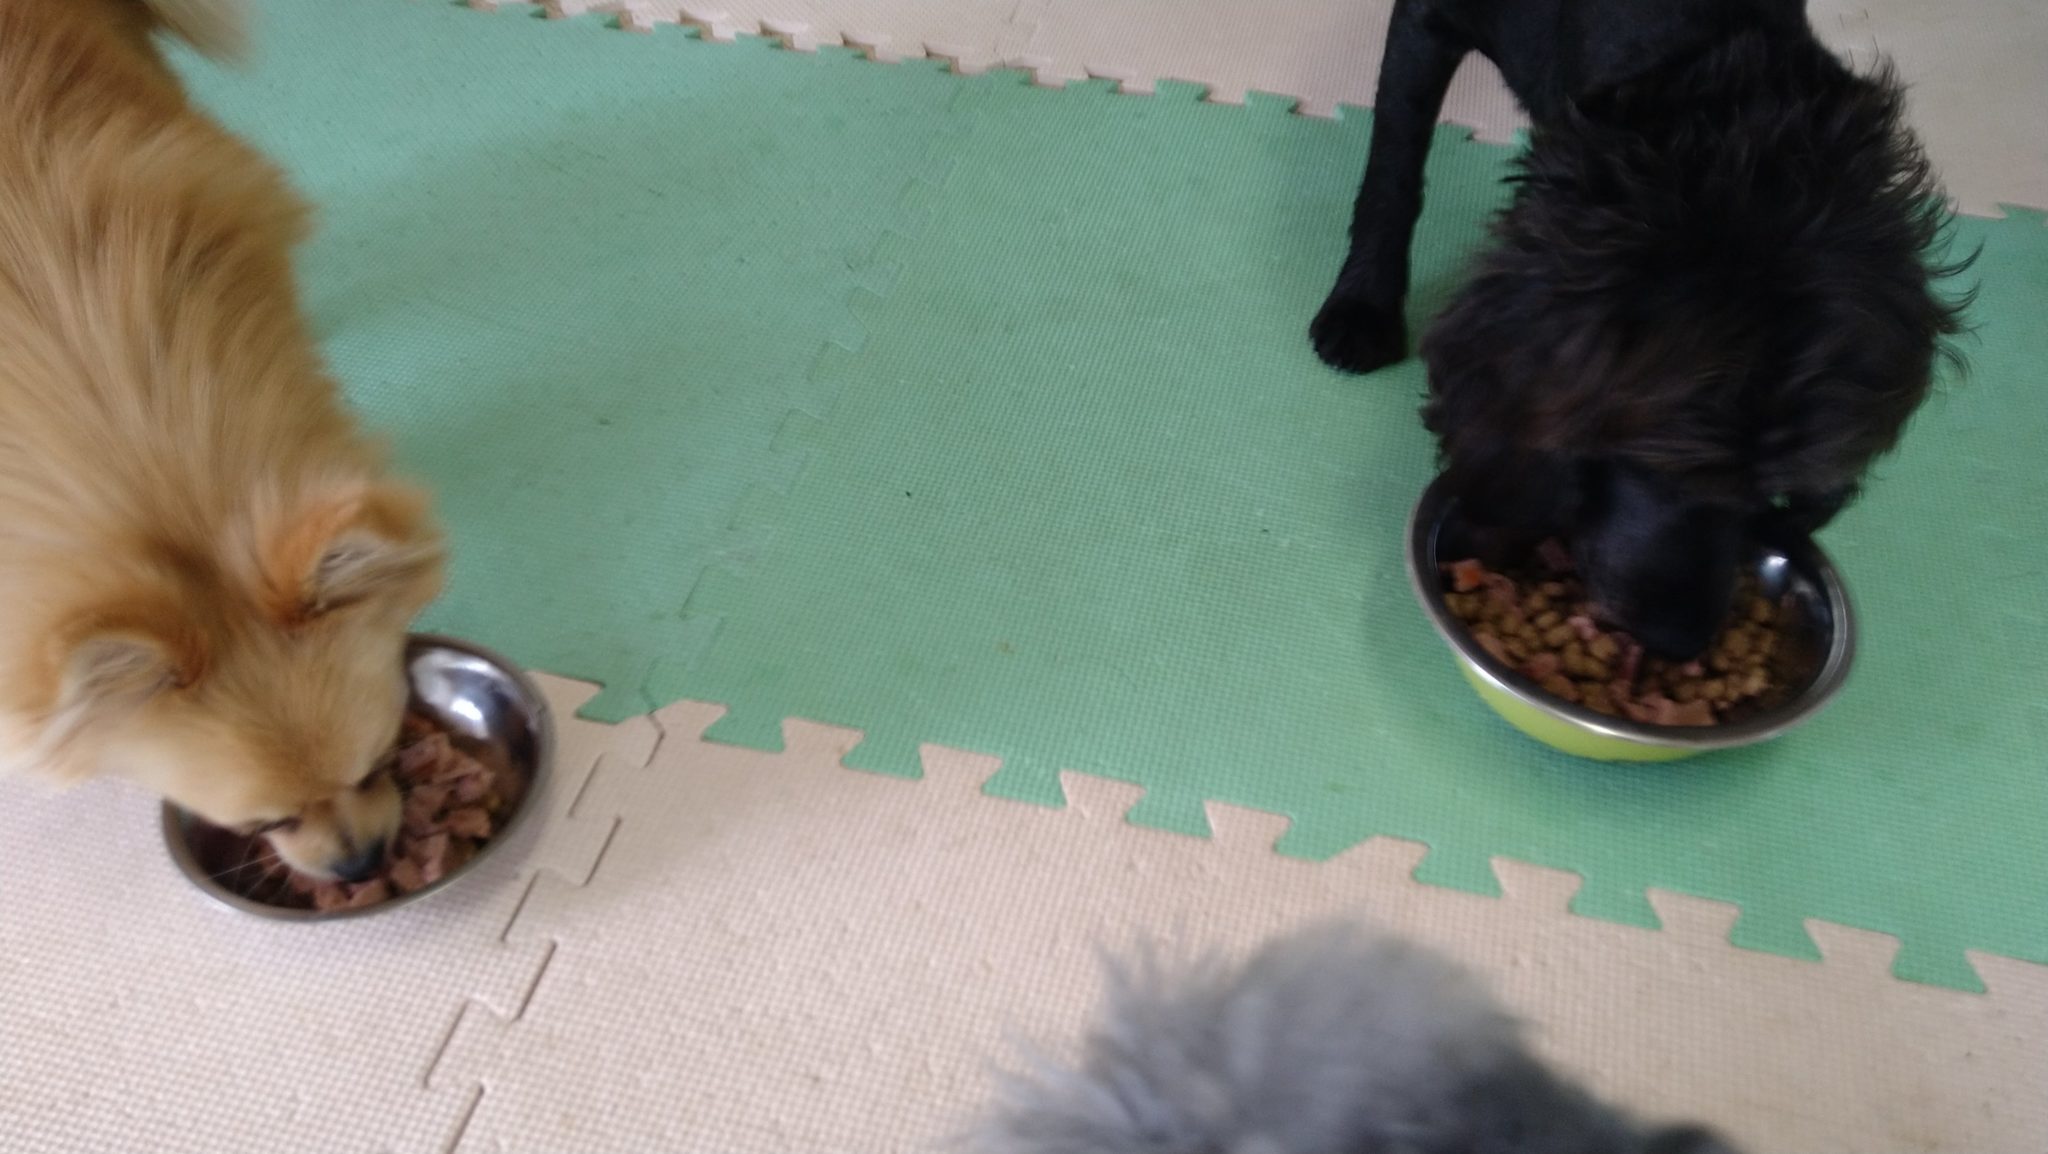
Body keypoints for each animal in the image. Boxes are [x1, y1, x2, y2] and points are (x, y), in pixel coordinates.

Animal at [1311, 0, 1969, 657]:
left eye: (1774, 488)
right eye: (1662, 465)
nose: (1679, 641)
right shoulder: (1427, 24)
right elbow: (1393, 168)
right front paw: (1363, 305)